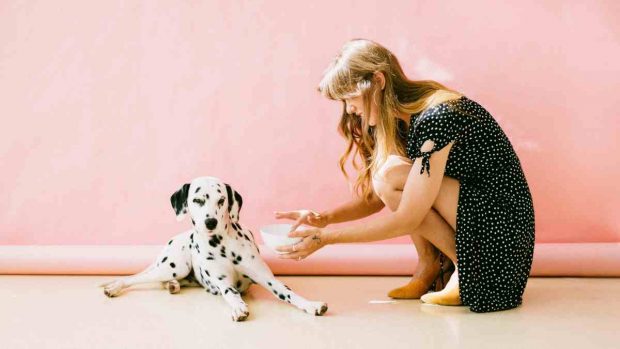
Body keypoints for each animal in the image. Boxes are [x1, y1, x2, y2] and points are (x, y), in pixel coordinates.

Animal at [98, 177, 330, 320]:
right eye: (197, 200)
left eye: (221, 200)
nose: (210, 222)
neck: (223, 245)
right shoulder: (224, 283)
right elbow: (232, 294)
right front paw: (238, 307)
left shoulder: (267, 278)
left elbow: (288, 292)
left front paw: (311, 305)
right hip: (173, 266)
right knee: (135, 277)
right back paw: (115, 286)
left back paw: (172, 286)